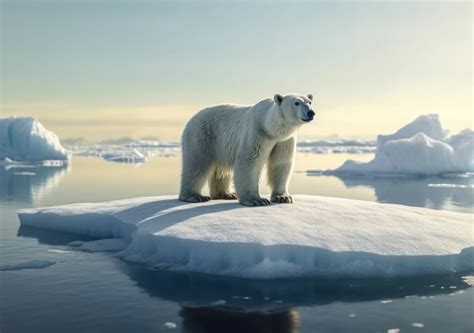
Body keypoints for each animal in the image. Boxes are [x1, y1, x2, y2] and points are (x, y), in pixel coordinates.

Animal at [178, 93, 314, 206]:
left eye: (309, 102)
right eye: (296, 102)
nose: (311, 113)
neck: (270, 127)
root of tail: (191, 119)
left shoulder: (283, 141)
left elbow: (281, 163)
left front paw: (283, 197)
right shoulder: (257, 132)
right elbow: (250, 161)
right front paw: (257, 200)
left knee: (220, 170)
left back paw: (227, 194)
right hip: (202, 135)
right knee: (197, 164)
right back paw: (194, 196)